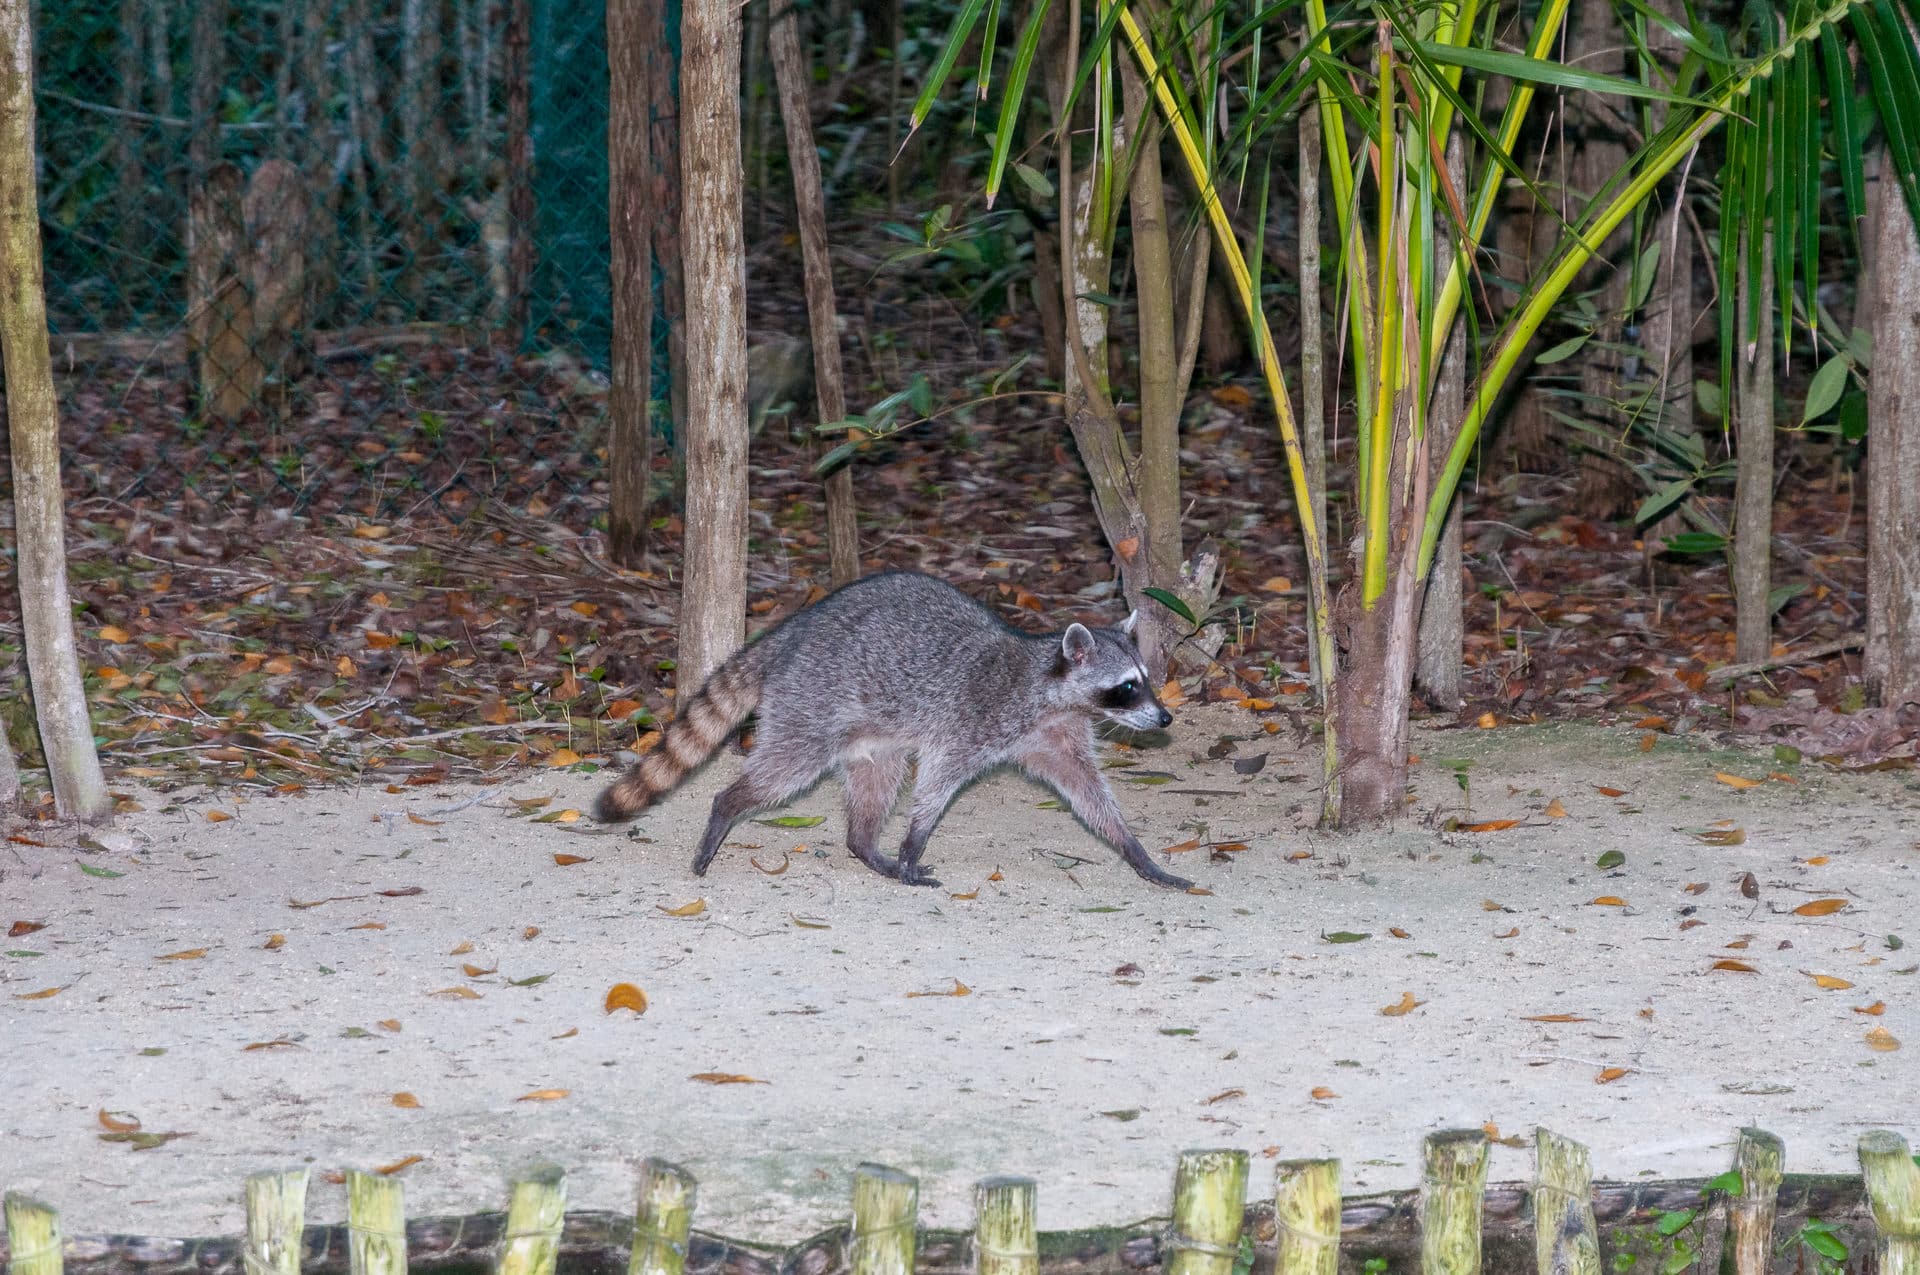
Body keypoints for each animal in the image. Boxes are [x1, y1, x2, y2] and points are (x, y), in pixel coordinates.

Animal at [599, 572, 1190, 890]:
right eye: (1128, 687)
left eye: (1147, 680)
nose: (1165, 719)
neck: (1052, 690)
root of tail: (792, 630)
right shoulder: (974, 716)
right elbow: (937, 779)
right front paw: (915, 837)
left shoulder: (1058, 734)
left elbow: (1089, 793)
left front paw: (1134, 850)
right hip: (811, 701)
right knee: (784, 767)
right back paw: (728, 806)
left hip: (867, 735)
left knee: (875, 780)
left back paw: (865, 845)